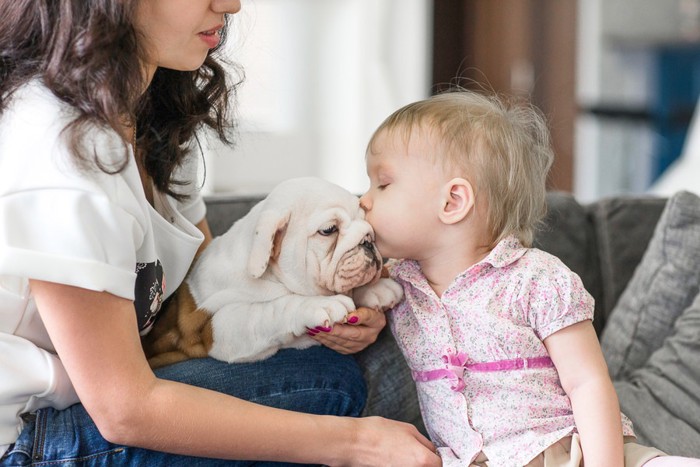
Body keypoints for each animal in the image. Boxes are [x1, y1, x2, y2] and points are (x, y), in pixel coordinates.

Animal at [156, 177, 402, 364]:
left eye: (367, 222)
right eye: (329, 230)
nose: (368, 239)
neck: (274, 278)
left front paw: (378, 289)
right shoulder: (218, 328)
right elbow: (271, 310)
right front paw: (319, 305)